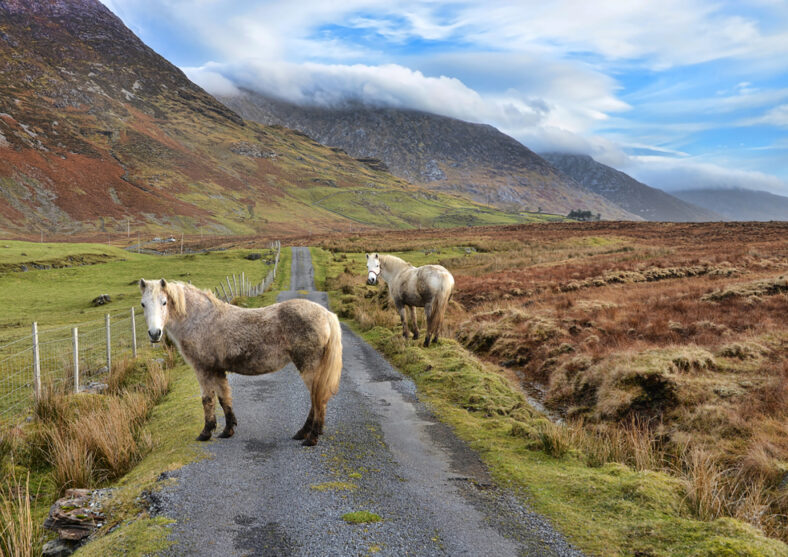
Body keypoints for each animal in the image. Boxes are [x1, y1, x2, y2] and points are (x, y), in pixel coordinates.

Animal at [139, 279, 342, 446]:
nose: (154, 334)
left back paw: (311, 438)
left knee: (317, 400)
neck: (200, 319)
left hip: (309, 367)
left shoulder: (203, 369)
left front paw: (205, 433)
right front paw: (227, 431)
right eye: (143, 304)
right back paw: (302, 433)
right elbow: (224, 398)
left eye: (164, 302)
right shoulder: (217, 370)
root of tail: (326, 314)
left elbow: (207, 399)